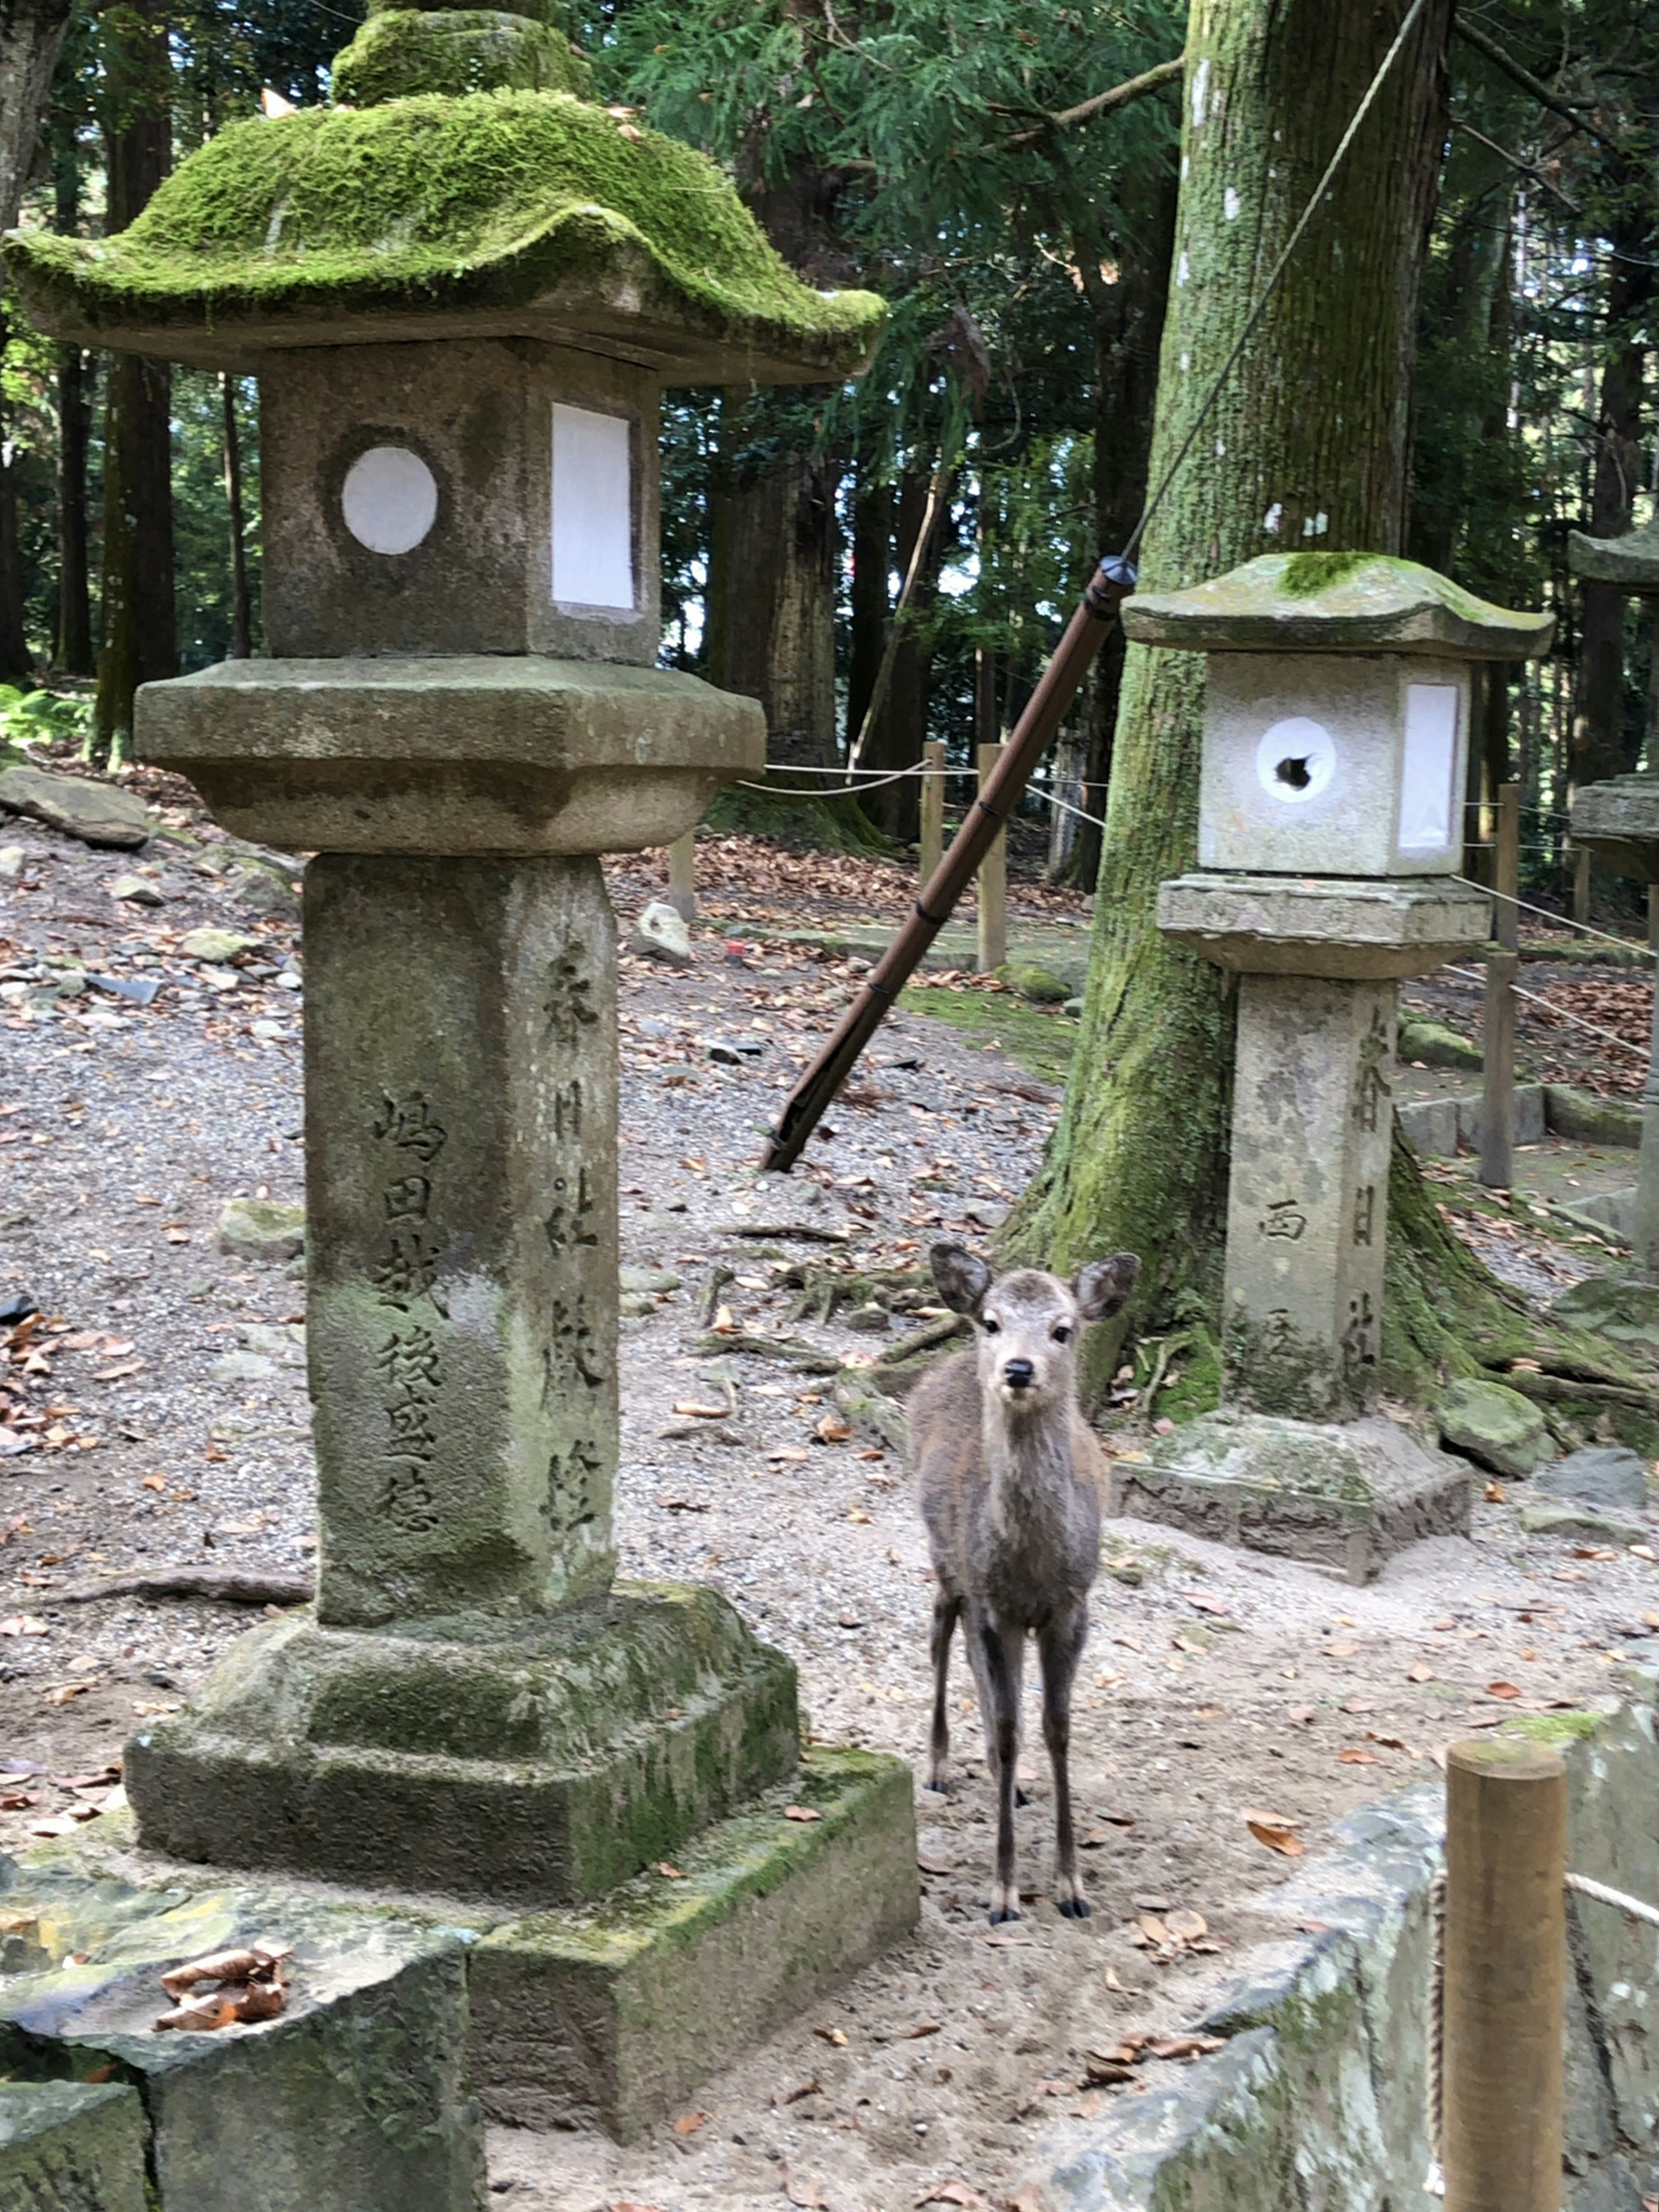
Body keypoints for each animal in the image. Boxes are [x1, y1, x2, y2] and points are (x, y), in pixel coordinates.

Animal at [911, 1247, 1141, 1920]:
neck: (1033, 1565)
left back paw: (1001, 1784)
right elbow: (1015, 1730)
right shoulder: (996, 1603)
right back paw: (939, 1765)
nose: (1017, 1368)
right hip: (945, 1552)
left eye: (1063, 1329)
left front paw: (1072, 1887)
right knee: (941, 1629)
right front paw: (1005, 1892)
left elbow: (1056, 1731)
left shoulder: (1071, 1605)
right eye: (993, 1321)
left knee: (966, 1650)